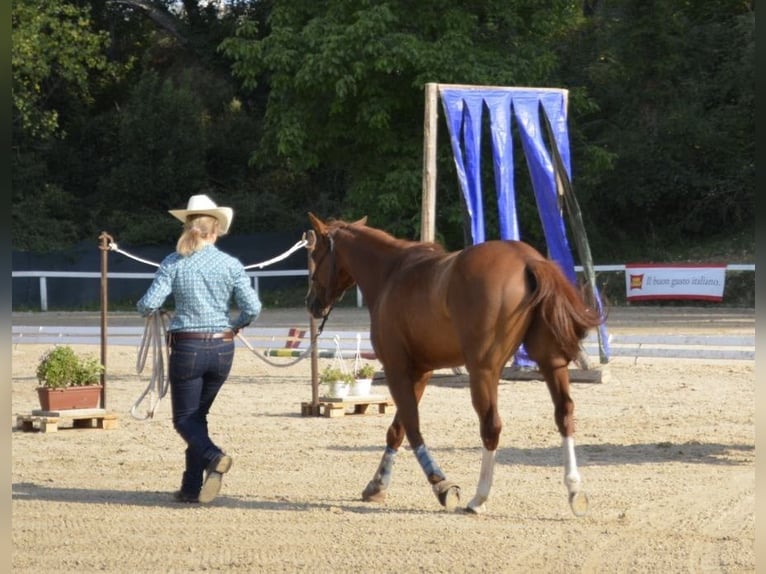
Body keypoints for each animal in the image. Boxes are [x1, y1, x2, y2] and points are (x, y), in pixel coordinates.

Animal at [305, 213, 604, 515]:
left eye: (315, 255)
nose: (311, 303)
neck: (391, 273)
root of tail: (527, 259)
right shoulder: (420, 372)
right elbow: (397, 429)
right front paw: (377, 485)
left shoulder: (396, 369)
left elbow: (411, 427)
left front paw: (441, 485)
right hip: (551, 362)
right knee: (564, 414)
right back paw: (574, 489)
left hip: (483, 371)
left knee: (491, 426)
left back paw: (479, 498)